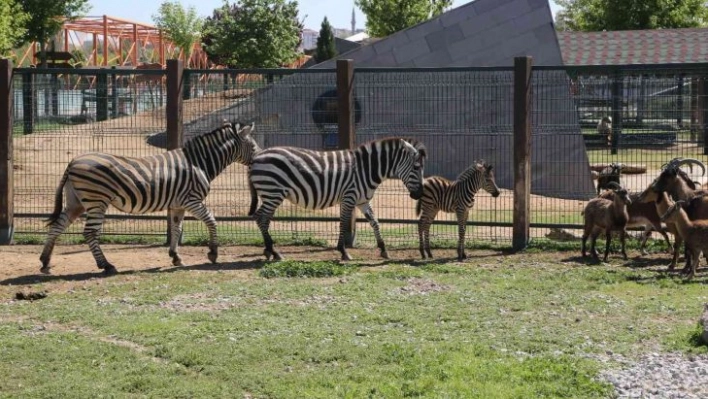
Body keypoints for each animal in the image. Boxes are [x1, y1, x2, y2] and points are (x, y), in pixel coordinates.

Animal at [38, 120, 260, 276]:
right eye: (254, 147)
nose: (258, 160)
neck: (199, 163)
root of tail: (72, 162)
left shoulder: (178, 204)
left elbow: (176, 228)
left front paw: (175, 257)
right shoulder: (192, 200)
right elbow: (212, 221)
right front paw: (213, 253)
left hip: (76, 201)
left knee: (57, 226)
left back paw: (45, 261)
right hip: (97, 201)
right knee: (90, 232)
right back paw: (106, 265)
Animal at [249, 138, 426, 262]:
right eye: (416, 167)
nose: (419, 194)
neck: (365, 170)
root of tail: (256, 157)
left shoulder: (362, 201)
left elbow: (375, 222)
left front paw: (383, 249)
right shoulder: (349, 197)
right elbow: (343, 223)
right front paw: (343, 251)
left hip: (271, 194)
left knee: (262, 218)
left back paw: (269, 251)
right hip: (273, 192)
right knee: (261, 218)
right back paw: (274, 251)